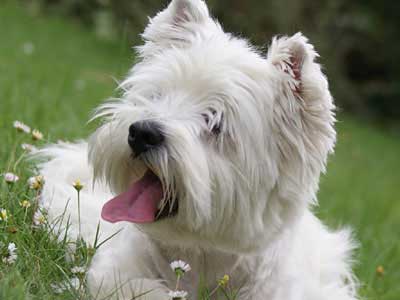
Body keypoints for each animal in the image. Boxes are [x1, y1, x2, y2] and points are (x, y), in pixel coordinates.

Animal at [37, 1, 360, 298]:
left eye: (215, 122)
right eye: (157, 95)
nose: (142, 133)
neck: (201, 259)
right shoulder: (112, 271)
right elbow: (136, 287)